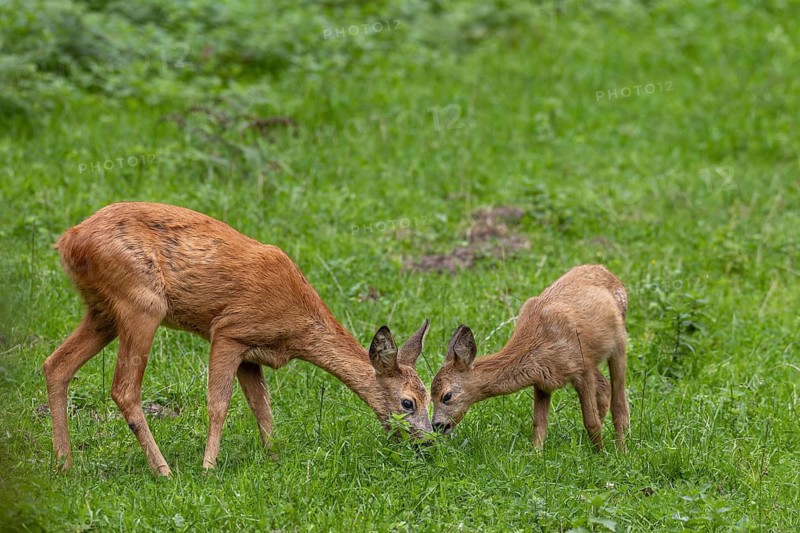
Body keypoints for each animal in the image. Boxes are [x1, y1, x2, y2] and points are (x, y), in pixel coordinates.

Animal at [43, 202, 433, 477]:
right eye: (408, 402)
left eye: (430, 396)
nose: (428, 442)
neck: (298, 326)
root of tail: (68, 240)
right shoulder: (229, 331)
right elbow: (219, 404)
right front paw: (208, 468)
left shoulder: (252, 354)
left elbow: (263, 407)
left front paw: (274, 458)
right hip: (142, 302)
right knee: (123, 388)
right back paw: (163, 471)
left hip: (102, 311)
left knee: (55, 364)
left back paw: (64, 464)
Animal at [431, 264, 629, 451]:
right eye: (431, 396)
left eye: (447, 396)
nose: (437, 425)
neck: (536, 343)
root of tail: (608, 272)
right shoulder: (543, 382)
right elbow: (539, 424)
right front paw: (536, 455)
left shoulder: (582, 369)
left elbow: (591, 421)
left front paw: (601, 454)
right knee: (604, 388)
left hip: (618, 343)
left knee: (619, 403)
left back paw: (621, 450)